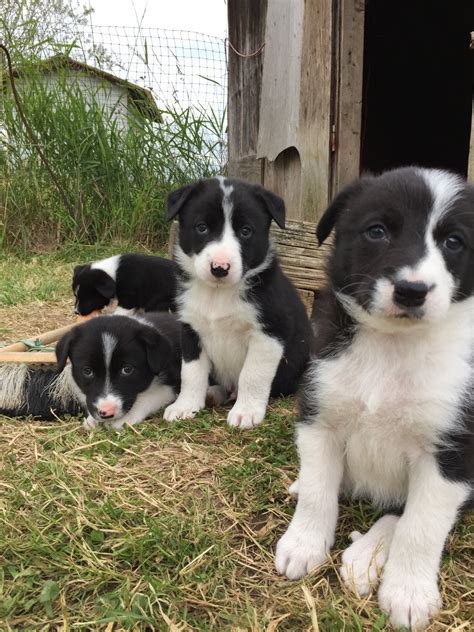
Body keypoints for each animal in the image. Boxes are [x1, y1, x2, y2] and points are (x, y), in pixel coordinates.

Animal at [162, 175, 312, 428]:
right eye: (202, 227)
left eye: (245, 231)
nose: (220, 268)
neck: (218, 294)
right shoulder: (191, 329)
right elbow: (191, 373)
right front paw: (185, 406)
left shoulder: (268, 333)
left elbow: (252, 375)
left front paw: (246, 412)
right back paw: (212, 393)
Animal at [274, 167, 474, 628]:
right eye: (377, 231)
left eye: (454, 242)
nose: (411, 290)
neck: (392, 345)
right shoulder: (320, 416)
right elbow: (318, 493)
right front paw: (303, 544)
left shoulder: (451, 454)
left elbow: (421, 526)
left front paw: (408, 594)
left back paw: (367, 555)